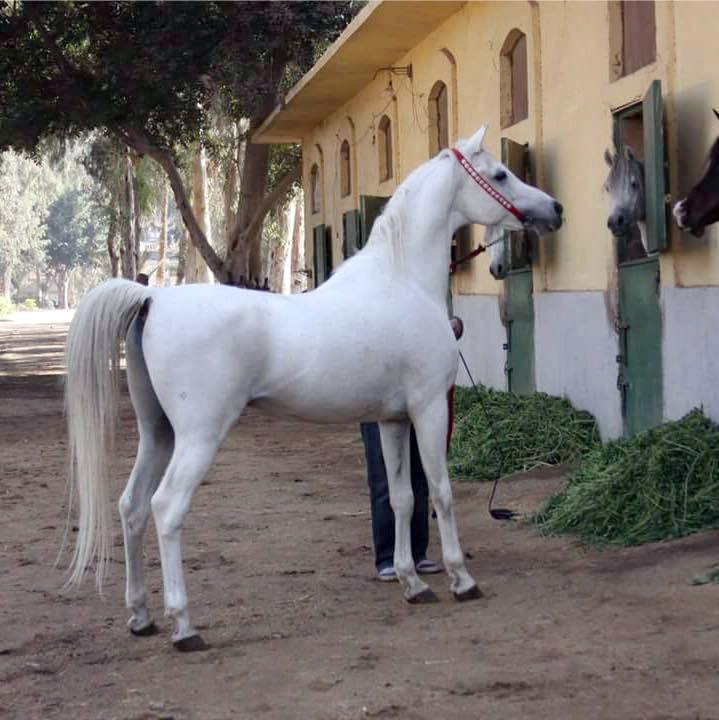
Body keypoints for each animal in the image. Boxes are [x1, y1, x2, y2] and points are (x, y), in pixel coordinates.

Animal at [64, 125, 564, 652]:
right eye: (501, 174)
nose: (554, 209)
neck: (402, 281)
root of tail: (151, 298)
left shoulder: (391, 419)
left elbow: (403, 498)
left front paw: (412, 582)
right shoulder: (429, 409)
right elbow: (442, 492)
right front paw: (461, 578)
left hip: (157, 432)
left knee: (132, 506)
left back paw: (141, 616)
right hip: (198, 436)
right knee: (165, 508)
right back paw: (183, 625)